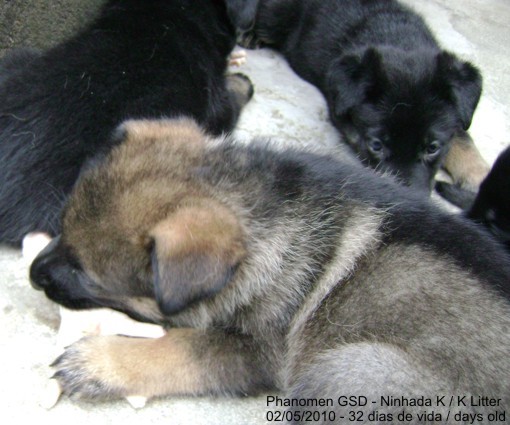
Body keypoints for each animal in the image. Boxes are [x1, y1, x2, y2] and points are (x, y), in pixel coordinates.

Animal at [30, 118, 510, 422]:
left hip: (351, 368)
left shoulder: (258, 351)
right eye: (61, 229)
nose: (33, 273)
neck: (266, 212)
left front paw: (102, 362)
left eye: (84, 273)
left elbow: (181, 349)